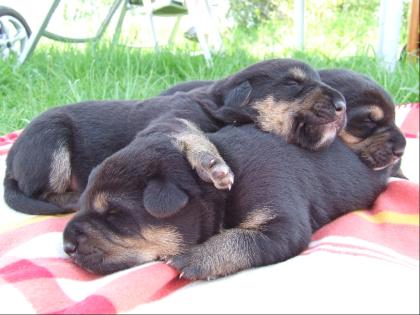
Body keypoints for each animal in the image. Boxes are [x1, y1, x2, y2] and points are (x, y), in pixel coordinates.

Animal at [4, 58, 344, 217]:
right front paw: (213, 165)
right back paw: (76, 195)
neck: (221, 108)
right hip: (51, 140)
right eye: (293, 83)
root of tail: (10, 163)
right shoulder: (172, 119)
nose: (342, 105)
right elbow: (191, 134)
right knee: (42, 192)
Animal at [63, 119, 394, 278]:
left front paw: (195, 258)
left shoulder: (281, 222)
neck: (221, 194)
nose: (66, 246)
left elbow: (241, 239)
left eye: (115, 217)